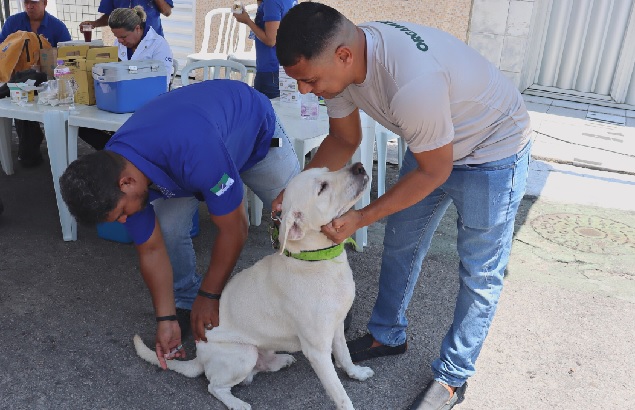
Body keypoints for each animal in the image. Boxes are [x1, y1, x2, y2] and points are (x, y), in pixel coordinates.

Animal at [133, 163, 372, 410]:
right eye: (322, 188)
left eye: (327, 169)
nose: (359, 166)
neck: (316, 259)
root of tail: (199, 357)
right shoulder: (317, 350)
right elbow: (340, 394)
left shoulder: (337, 327)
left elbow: (345, 355)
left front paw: (356, 372)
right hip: (243, 354)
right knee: (215, 386)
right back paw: (237, 403)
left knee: (261, 366)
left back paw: (281, 360)